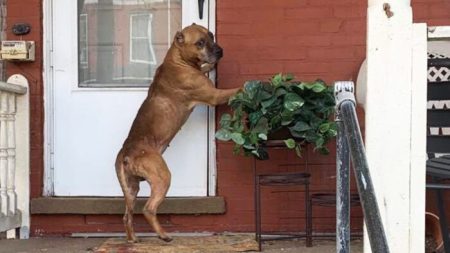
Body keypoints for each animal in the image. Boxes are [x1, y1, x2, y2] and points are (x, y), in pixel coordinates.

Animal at [114, 24, 239, 243]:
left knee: (127, 215)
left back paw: (133, 239)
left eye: (211, 36)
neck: (178, 59)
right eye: (200, 43)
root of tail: (127, 153)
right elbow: (236, 89)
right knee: (149, 209)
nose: (220, 51)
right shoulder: (215, 95)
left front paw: (209, 67)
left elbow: (205, 69)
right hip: (162, 177)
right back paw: (163, 236)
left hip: (130, 189)